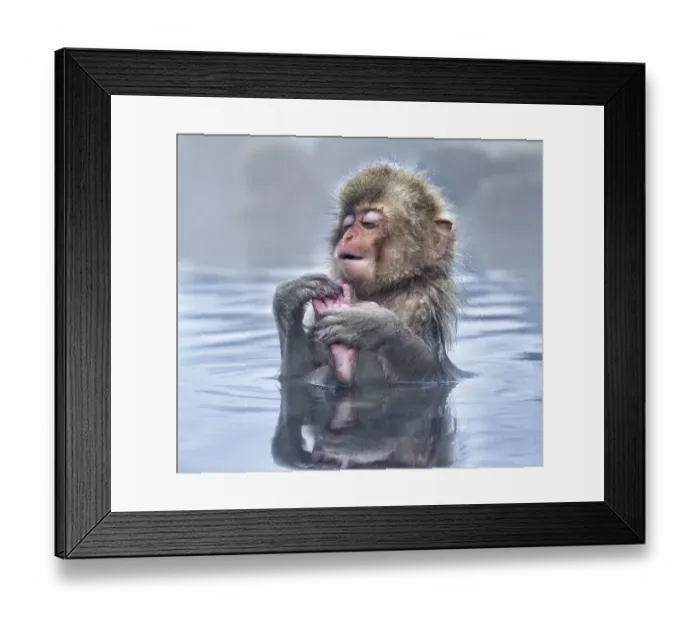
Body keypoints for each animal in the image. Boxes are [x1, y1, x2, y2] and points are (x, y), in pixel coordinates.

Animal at [272, 161, 464, 386]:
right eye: (347, 225)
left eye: (369, 223)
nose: (347, 236)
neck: (386, 288)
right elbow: (294, 377)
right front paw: (290, 296)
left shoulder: (421, 303)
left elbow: (430, 373)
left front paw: (371, 325)